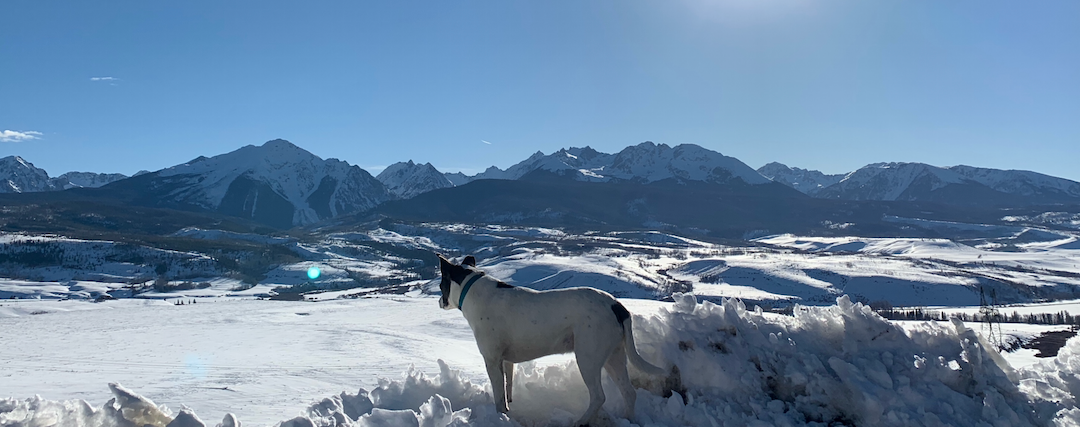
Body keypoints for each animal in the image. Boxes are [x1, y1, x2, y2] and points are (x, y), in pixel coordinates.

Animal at [438, 256, 665, 425]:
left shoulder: (492, 360)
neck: (471, 288)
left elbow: (499, 396)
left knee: (599, 396)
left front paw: (500, 416)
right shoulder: (506, 361)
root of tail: (616, 305)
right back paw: (629, 419)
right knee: (629, 392)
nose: (439, 301)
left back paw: (580, 421)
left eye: (441, 285)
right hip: (614, 356)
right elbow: (507, 388)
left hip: (588, 357)